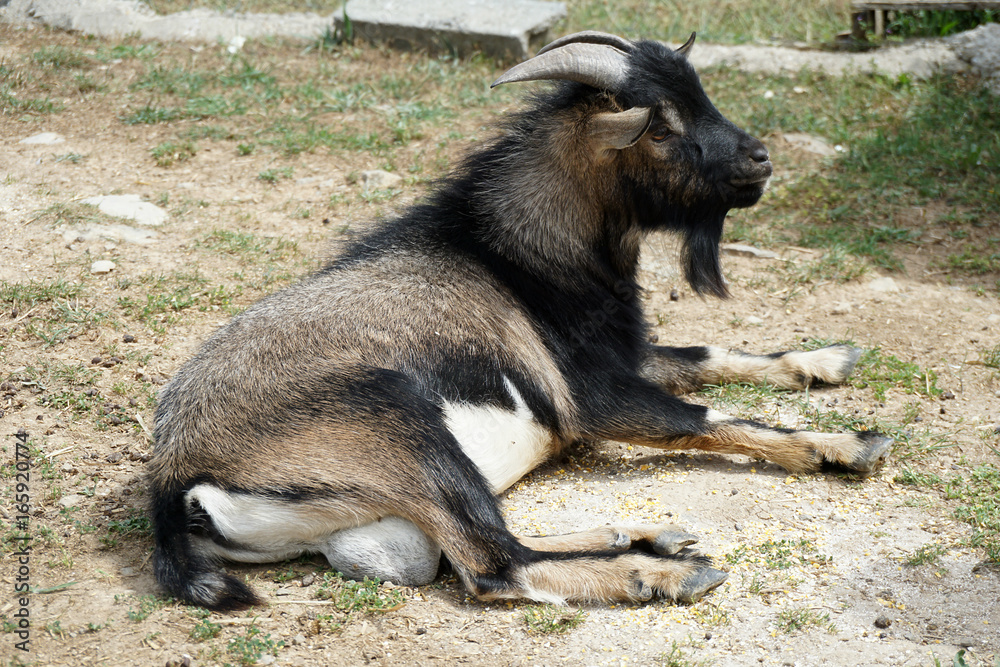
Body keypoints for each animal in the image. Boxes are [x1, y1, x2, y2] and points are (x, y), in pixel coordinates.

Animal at [149, 31, 892, 611]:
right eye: (661, 126)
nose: (759, 159)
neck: (512, 257)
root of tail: (176, 480)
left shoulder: (620, 353)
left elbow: (705, 354)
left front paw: (825, 358)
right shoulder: (589, 396)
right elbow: (704, 416)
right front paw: (845, 444)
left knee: (486, 545)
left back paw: (641, 535)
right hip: (400, 429)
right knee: (495, 566)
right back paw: (659, 571)